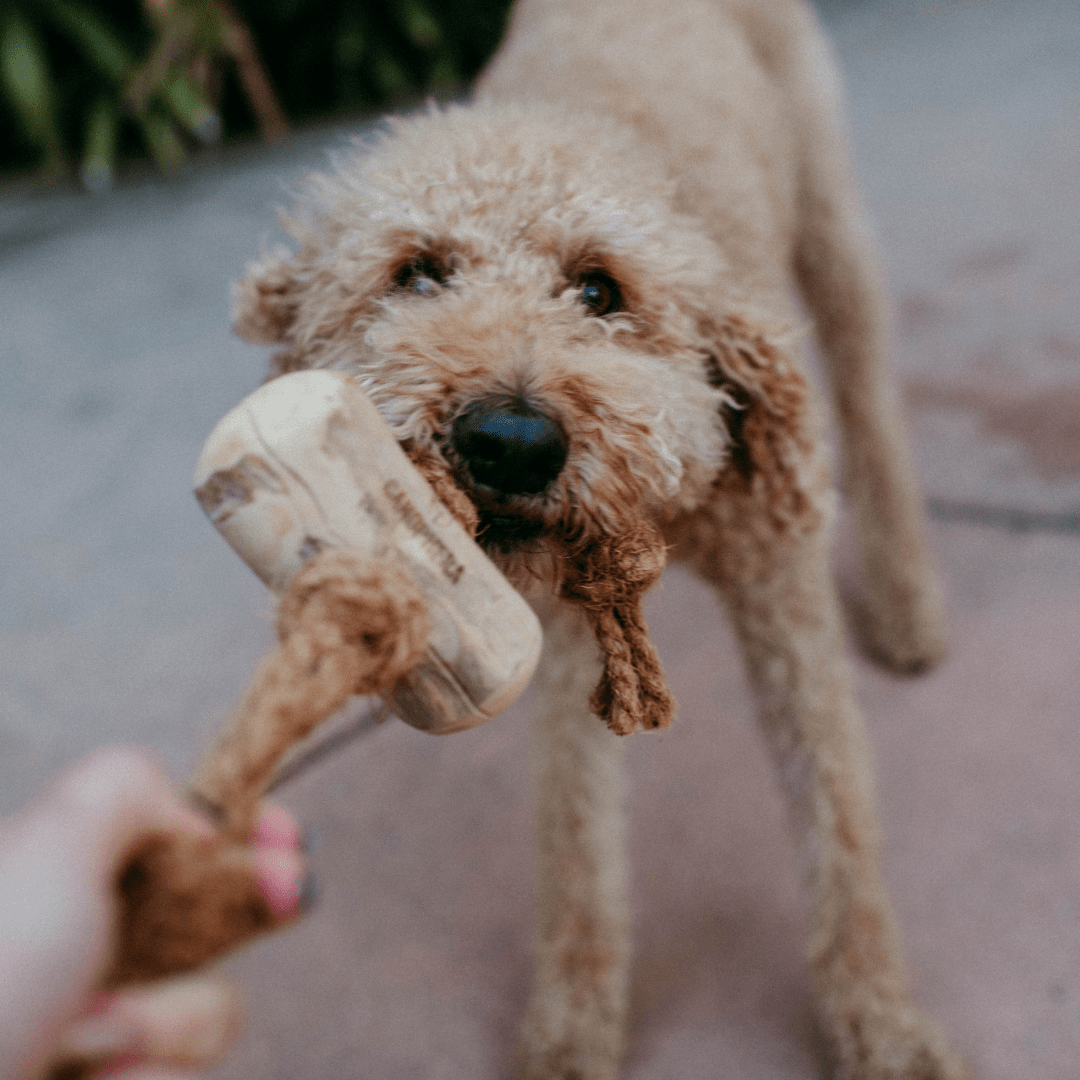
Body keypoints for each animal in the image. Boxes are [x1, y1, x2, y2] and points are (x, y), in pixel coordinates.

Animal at [208, 2, 963, 1080]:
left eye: (600, 291)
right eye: (418, 273)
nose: (510, 441)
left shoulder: (779, 590)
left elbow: (839, 812)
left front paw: (883, 1023)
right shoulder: (557, 634)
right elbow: (574, 830)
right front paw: (572, 1022)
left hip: (830, 224)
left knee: (868, 396)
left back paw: (906, 605)